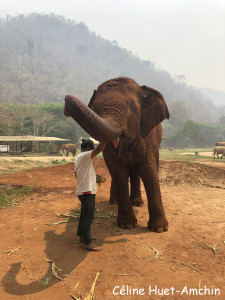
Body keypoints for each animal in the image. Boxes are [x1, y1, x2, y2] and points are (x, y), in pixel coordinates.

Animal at [64, 77, 170, 232]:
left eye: (132, 107)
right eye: (95, 109)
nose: (65, 110)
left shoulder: (149, 136)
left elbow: (148, 169)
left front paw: (159, 228)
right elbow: (118, 171)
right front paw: (127, 225)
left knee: (136, 171)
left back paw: (137, 202)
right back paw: (114, 202)